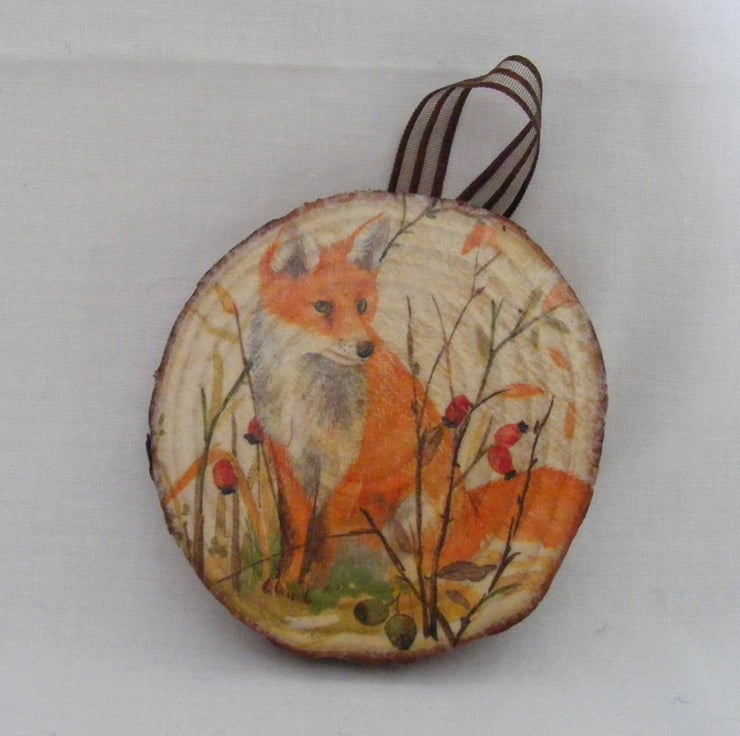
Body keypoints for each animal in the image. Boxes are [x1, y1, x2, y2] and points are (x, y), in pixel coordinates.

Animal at [247, 216, 593, 595]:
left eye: (362, 306)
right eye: (322, 307)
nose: (366, 349)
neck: (305, 394)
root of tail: (474, 511)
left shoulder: (349, 468)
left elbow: (324, 537)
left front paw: (311, 588)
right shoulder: (287, 461)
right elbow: (296, 533)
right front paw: (285, 582)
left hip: (416, 513)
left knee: (429, 565)